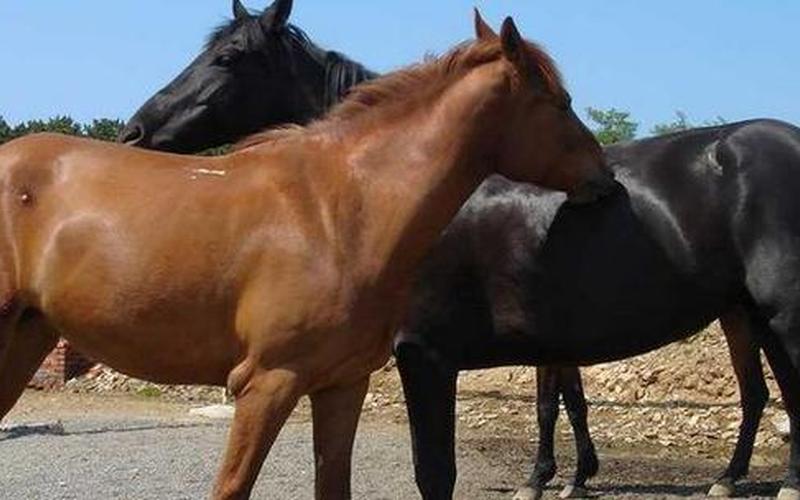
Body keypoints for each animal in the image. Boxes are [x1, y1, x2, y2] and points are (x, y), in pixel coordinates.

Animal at [0, 12, 613, 500]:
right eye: (559, 102)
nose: (603, 178)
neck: (340, 210)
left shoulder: (342, 385)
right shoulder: (266, 384)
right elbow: (232, 488)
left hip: (27, 339)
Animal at [121, 3, 784, 498]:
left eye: (228, 57)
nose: (135, 131)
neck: (378, 190)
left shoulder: (429, 354)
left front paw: (556, 478)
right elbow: (561, 401)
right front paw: (560, 477)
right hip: (744, 314)